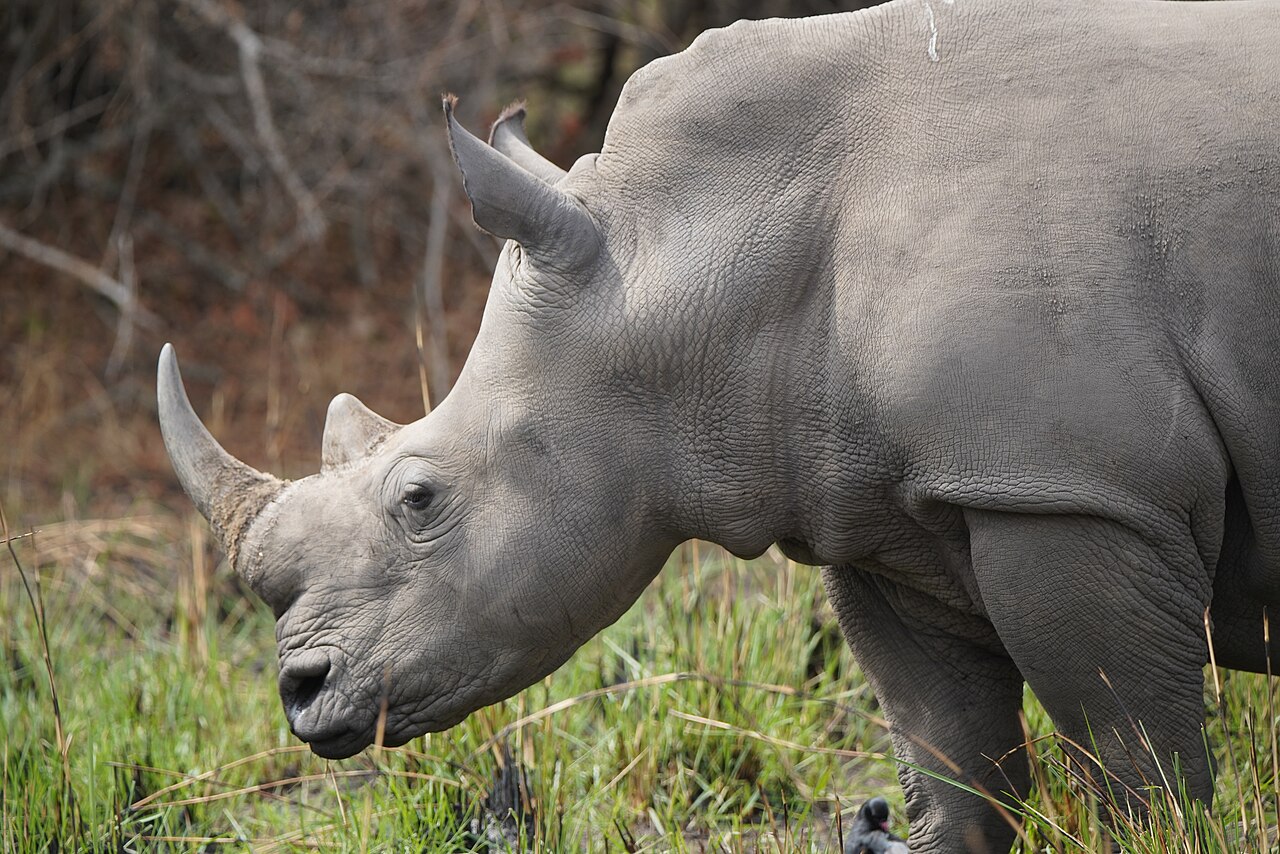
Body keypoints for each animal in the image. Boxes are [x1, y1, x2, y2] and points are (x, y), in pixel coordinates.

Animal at [157, 0, 1280, 850]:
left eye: (421, 499)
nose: (300, 691)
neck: (685, 256)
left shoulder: (1068, 489)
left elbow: (1138, 770)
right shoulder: (882, 503)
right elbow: (954, 764)